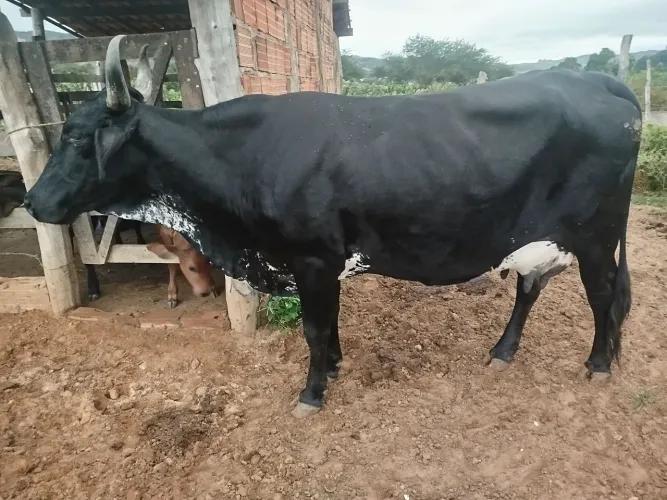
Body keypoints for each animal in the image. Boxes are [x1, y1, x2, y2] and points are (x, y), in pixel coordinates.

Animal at [23, 35, 641, 419]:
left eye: (77, 139)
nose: (31, 201)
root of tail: (598, 82)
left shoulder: (313, 256)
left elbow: (314, 328)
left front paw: (312, 391)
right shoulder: (323, 261)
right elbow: (332, 322)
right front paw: (337, 367)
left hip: (595, 234)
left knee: (603, 294)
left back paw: (598, 364)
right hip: (539, 235)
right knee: (530, 286)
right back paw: (503, 351)